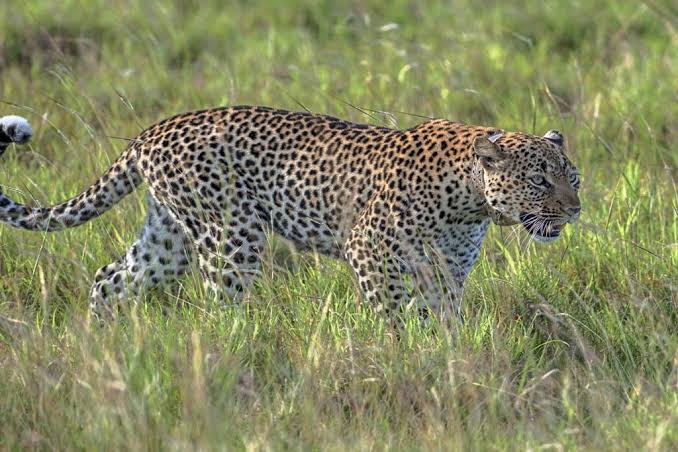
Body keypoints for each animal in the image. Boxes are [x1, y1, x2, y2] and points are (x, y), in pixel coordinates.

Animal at [0, 107, 580, 320]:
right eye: (539, 180)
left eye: (572, 178)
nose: (574, 210)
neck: (470, 201)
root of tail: (152, 130)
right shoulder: (370, 254)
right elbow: (397, 316)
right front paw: (406, 354)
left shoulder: (447, 271)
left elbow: (447, 319)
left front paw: (449, 362)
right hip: (229, 237)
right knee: (220, 304)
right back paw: (232, 350)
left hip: (169, 239)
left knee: (110, 277)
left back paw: (104, 340)